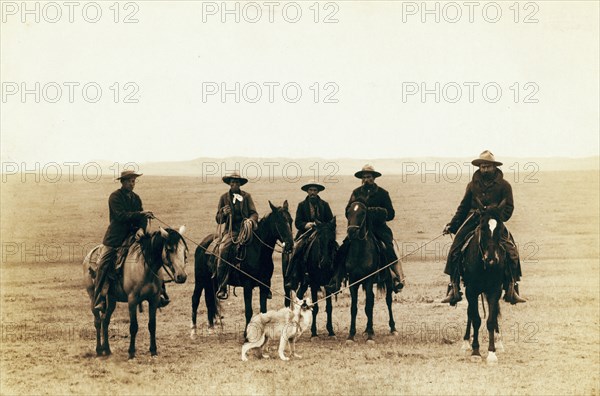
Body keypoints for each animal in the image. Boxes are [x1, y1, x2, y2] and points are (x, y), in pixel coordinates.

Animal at [83, 226, 188, 358]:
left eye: (184, 251)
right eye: (170, 249)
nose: (182, 276)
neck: (146, 268)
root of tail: (89, 255)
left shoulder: (154, 300)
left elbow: (152, 325)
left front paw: (153, 350)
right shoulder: (132, 300)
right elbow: (133, 326)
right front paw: (131, 352)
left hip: (111, 299)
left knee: (105, 320)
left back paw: (107, 349)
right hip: (93, 296)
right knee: (97, 321)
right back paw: (98, 350)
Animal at [191, 201, 294, 338]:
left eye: (290, 220)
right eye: (279, 222)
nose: (290, 245)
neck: (258, 251)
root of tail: (202, 244)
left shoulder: (265, 284)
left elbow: (263, 310)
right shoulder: (247, 285)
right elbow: (248, 310)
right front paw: (246, 333)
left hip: (211, 281)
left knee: (209, 300)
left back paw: (211, 329)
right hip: (200, 279)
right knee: (195, 299)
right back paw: (193, 331)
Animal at [344, 201, 396, 344]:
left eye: (362, 213)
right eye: (348, 212)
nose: (351, 231)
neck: (359, 252)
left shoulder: (368, 280)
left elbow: (368, 305)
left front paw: (370, 336)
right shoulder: (353, 282)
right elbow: (354, 307)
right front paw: (351, 335)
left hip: (388, 281)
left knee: (388, 301)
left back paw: (392, 328)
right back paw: (367, 329)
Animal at [460, 201, 506, 366]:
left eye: (501, 228)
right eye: (483, 227)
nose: (491, 258)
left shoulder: (494, 290)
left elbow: (491, 320)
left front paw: (492, 353)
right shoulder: (471, 290)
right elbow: (476, 319)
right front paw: (475, 352)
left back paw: (499, 342)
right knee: (470, 313)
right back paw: (466, 342)